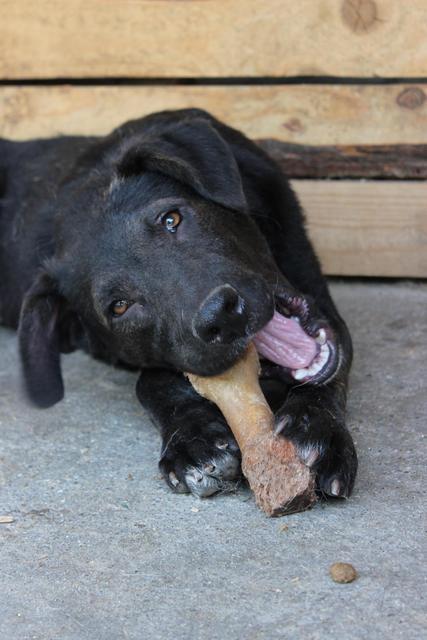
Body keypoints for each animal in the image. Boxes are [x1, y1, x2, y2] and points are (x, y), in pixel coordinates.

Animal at [0, 109, 358, 500]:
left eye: (171, 218)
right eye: (119, 306)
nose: (221, 317)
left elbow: (334, 362)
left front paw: (315, 426)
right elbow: (151, 382)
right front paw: (193, 439)